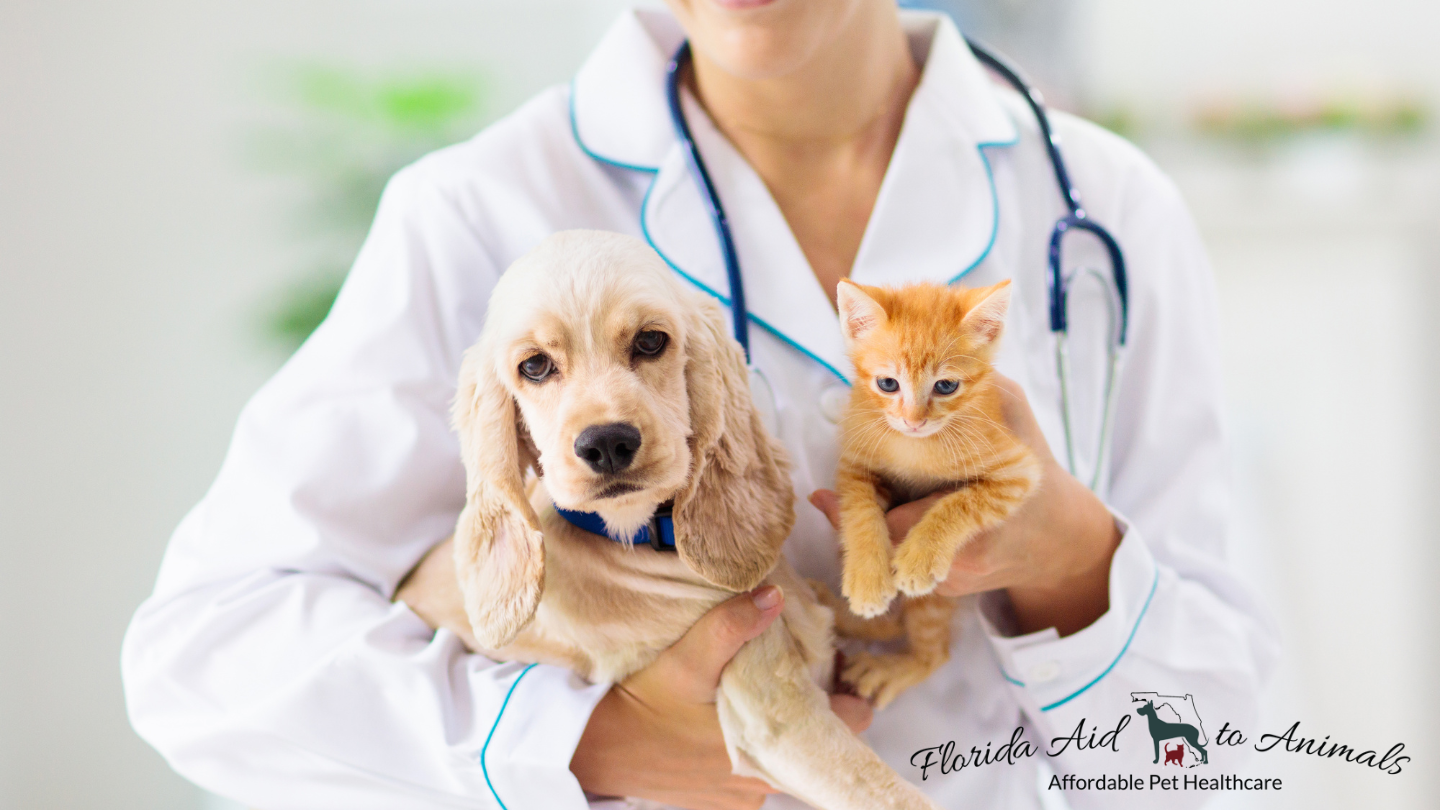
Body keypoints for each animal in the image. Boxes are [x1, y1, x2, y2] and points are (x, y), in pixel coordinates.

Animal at [455, 229, 938, 807]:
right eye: (534, 366)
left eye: (649, 341)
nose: (607, 444)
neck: (646, 538)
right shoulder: (776, 719)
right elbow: (895, 796)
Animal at [829, 276, 1042, 706]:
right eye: (887, 384)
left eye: (945, 386)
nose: (914, 421)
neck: (915, 447)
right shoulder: (855, 464)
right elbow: (859, 511)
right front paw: (867, 577)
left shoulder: (1017, 470)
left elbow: (961, 503)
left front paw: (920, 556)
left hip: (936, 602)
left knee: (935, 652)